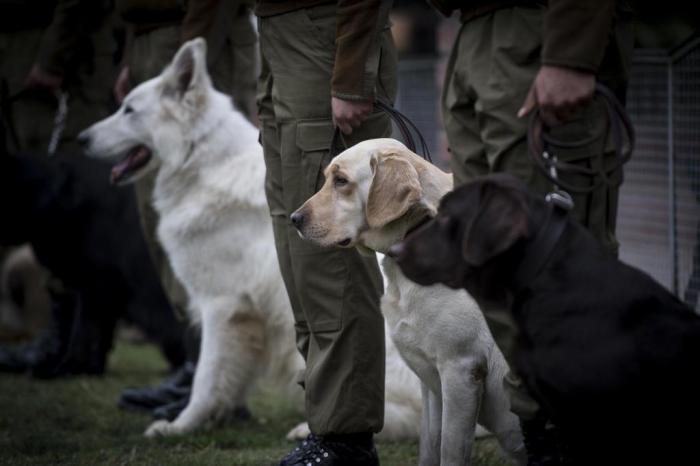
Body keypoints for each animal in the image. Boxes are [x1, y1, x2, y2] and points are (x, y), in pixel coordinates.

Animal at [78, 38, 424, 438]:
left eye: (129, 110)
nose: (81, 138)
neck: (199, 159)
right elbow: (226, 378)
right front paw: (221, 415)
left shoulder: (222, 305)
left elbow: (206, 377)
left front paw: (181, 425)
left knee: (404, 416)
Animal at [290, 139, 524, 466]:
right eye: (327, 179)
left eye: (341, 181)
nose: (294, 219)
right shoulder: (432, 383)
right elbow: (430, 445)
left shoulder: (461, 370)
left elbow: (450, 451)